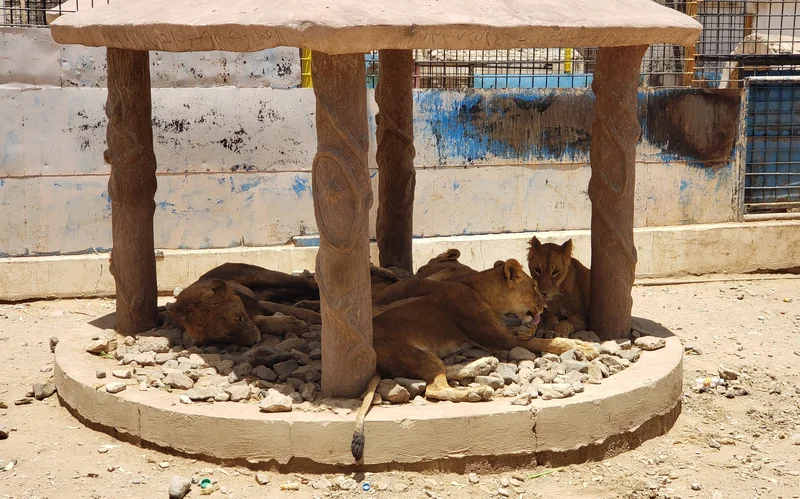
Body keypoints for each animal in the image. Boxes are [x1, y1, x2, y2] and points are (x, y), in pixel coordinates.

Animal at [350, 258, 599, 460]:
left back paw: (483, 365)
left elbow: (532, 335)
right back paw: (477, 391)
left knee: (444, 370)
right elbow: (546, 343)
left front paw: (537, 331)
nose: (545, 306)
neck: (479, 290)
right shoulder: (501, 339)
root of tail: (372, 357)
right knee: (435, 388)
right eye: (534, 287)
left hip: (426, 354)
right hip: (415, 354)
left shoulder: (501, 333)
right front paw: (583, 347)